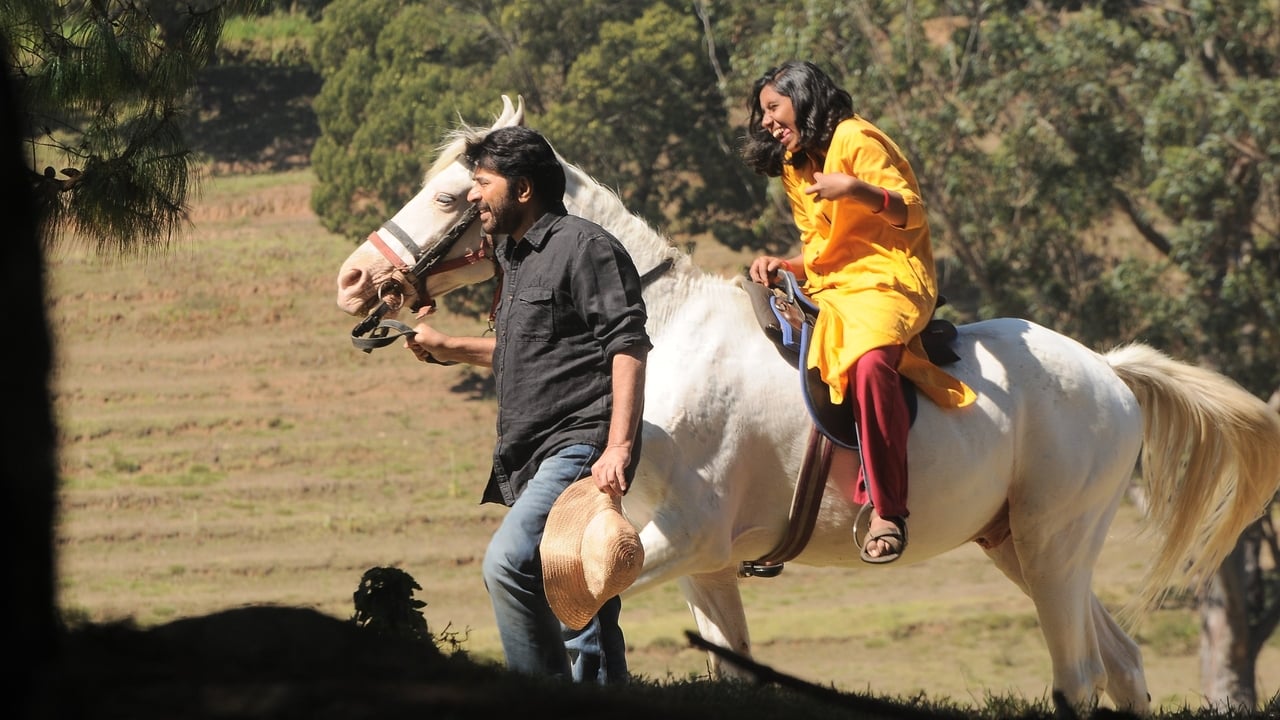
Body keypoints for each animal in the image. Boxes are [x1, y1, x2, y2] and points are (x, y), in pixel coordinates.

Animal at [335, 95, 1280, 707]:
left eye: (452, 195)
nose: (354, 279)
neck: (661, 332)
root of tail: (1110, 373)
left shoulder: (682, 539)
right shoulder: (707, 566)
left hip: (1053, 547)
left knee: (1080, 678)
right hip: (1023, 546)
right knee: (1119, 664)